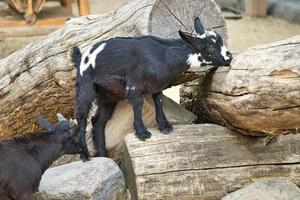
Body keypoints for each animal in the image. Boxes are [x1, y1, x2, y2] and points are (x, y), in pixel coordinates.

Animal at [71, 17, 232, 161]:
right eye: (209, 46)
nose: (229, 57)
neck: (163, 56)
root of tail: (82, 58)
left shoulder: (157, 85)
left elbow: (159, 102)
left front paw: (164, 126)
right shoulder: (134, 84)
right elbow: (138, 104)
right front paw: (142, 133)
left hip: (108, 95)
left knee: (98, 121)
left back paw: (102, 155)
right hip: (85, 86)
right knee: (81, 117)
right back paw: (85, 154)